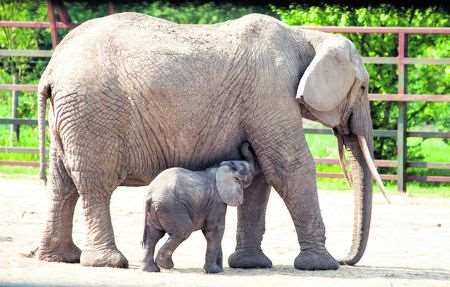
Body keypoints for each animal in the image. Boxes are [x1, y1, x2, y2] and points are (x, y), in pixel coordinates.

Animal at [142, 144, 258, 274]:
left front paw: (218, 270)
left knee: (153, 235)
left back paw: (151, 269)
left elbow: (212, 232)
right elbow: (215, 229)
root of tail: (150, 195)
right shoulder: (217, 200)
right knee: (183, 231)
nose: (246, 144)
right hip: (170, 207)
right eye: (249, 172)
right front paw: (214, 271)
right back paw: (166, 265)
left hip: (157, 210)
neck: (221, 168)